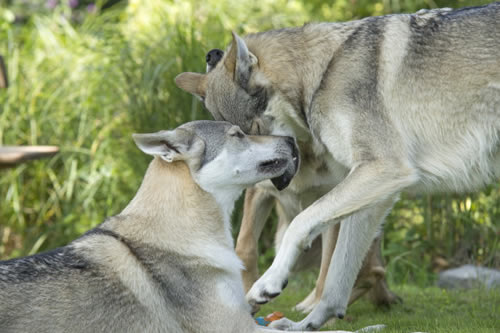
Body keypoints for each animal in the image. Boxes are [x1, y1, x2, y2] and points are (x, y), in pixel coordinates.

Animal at [176, 3, 500, 330]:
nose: (274, 181)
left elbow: (301, 226)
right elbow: (335, 282)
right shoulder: (376, 193)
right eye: (240, 137)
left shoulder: (381, 169)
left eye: (254, 130)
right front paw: (305, 325)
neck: (321, 77)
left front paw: (269, 283)